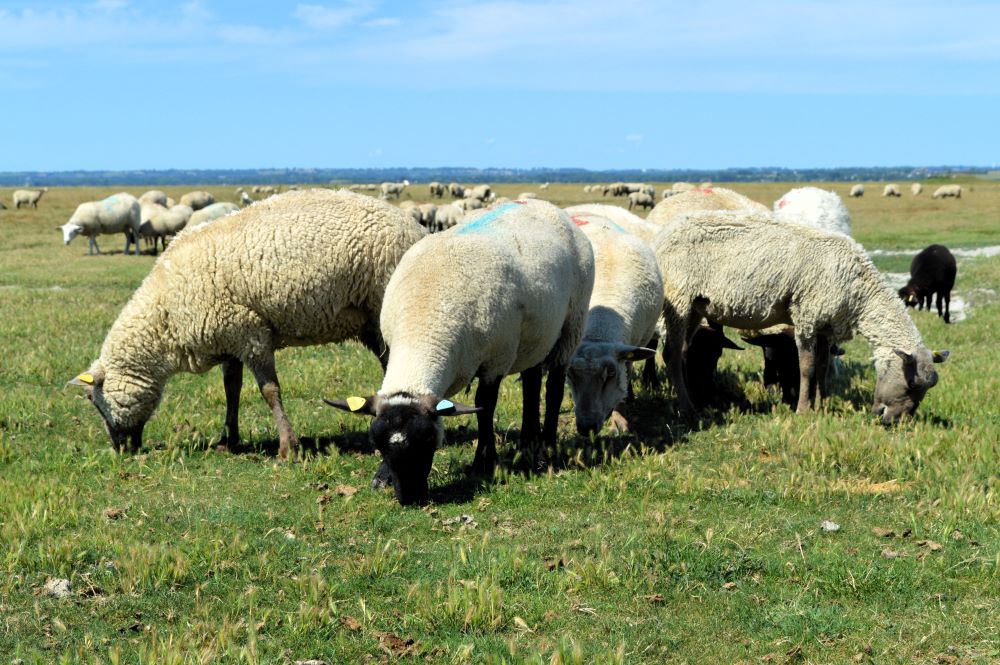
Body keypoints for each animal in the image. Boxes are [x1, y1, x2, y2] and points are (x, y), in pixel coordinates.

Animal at [67, 189, 428, 460]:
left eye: (93, 401)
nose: (119, 450)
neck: (164, 318)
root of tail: (416, 228)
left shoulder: (251, 334)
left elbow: (269, 391)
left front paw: (287, 448)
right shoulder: (227, 338)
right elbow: (232, 390)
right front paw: (228, 439)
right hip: (370, 322)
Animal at [325, 200, 595, 505]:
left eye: (428, 440)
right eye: (377, 443)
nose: (410, 499)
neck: (425, 321)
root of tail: (548, 206)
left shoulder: (497, 357)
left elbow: (484, 406)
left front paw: (484, 463)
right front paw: (382, 476)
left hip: (572, 324)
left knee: (554, 388)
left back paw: (547, 445)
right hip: (536, 335)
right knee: (532, 381)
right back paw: (528, 442)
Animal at [652, 210, 949, 424]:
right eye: (911, 385)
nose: (895, 421)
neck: (860, 293)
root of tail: (660, 238)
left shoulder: (826, 325)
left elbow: (823, 367)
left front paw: (823, 406)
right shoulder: (806, 314)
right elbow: (806, 366)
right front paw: (803, 410)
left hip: (695, 306)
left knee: (683, 352)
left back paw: (691, 398)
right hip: (679, 298)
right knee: (671, 354)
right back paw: (686, 409)